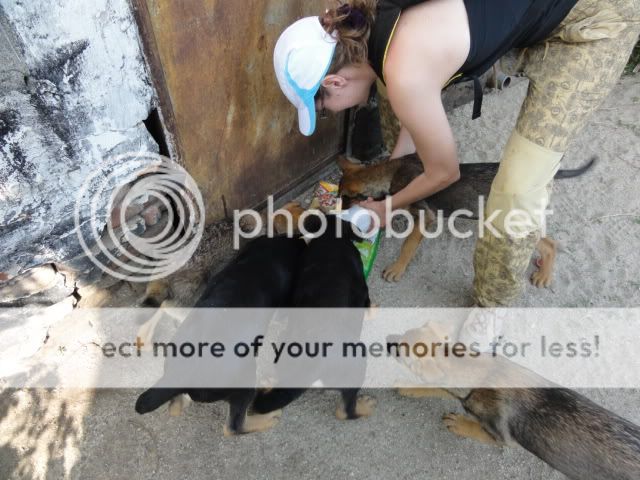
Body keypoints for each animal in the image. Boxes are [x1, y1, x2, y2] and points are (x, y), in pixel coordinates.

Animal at [252, 214, 378, 420]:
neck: (330, 239)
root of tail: (312, 368)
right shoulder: (362, 289)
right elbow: (367, 303)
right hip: (357, 362)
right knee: (346, 410)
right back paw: (364, 406)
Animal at [340, 154, 596, 284]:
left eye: (344, 198)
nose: (339, 215)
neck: (388, 173)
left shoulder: (426, 216)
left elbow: (408, 245)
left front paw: (397, 268)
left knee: (550, 244)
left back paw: (544, 275)